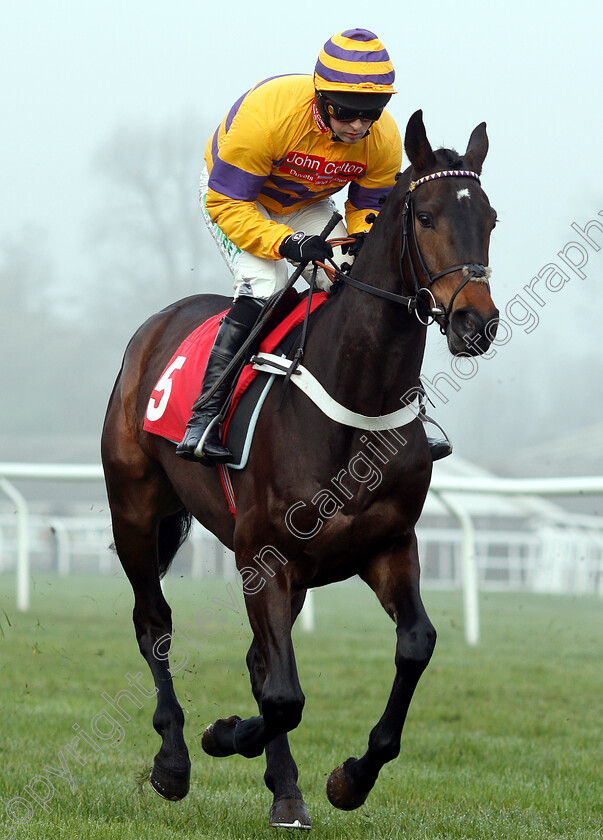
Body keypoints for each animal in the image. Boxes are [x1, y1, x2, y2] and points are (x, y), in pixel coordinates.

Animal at [102, 110, 500, 828]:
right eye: (427, 215)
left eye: (489, 217)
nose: (474, 321)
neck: (355, 402)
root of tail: (159, 324)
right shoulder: (266, 555)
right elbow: (282, 694)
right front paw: (222, 734)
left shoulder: (387, 545)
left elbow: (414, 645)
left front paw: (350, 778)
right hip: (136, 511)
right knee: (154, 625)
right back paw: (174, 759)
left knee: (258, 658)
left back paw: (283, 788)